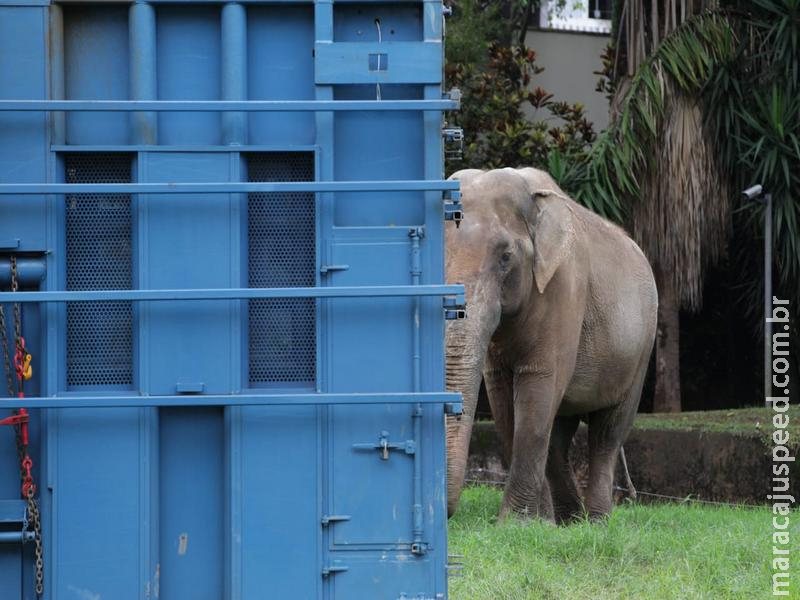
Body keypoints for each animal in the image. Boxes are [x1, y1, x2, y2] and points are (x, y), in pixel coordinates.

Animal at [445, 167, 658, 523]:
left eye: (506, 257)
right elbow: (503, 397)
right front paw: (536, 523)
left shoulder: (564, 287)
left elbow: (539, 383)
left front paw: (516, 523)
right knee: (559, 434)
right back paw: (568, 519)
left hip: (641, 350)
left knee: (608, 432)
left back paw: (596, 521)